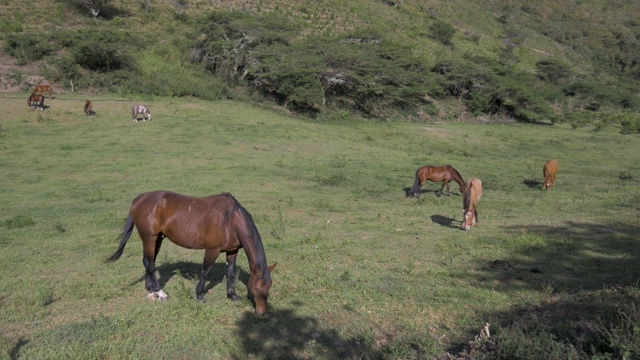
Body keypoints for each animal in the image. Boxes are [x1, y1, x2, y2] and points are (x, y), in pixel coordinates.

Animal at [108, 191, 278, 316]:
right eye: (256, 286)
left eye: (269, 286)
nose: (262, 313)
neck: (229, 220)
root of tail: (139, 199)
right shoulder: (212, 250)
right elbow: (205, 271)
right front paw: (199, 295)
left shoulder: (232, 250)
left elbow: (230, 272)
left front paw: (232, 295)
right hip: (149, 238)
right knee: (149, 264)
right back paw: (161, 293)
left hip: (157, 239)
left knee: (148, 262)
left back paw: (151, 291)